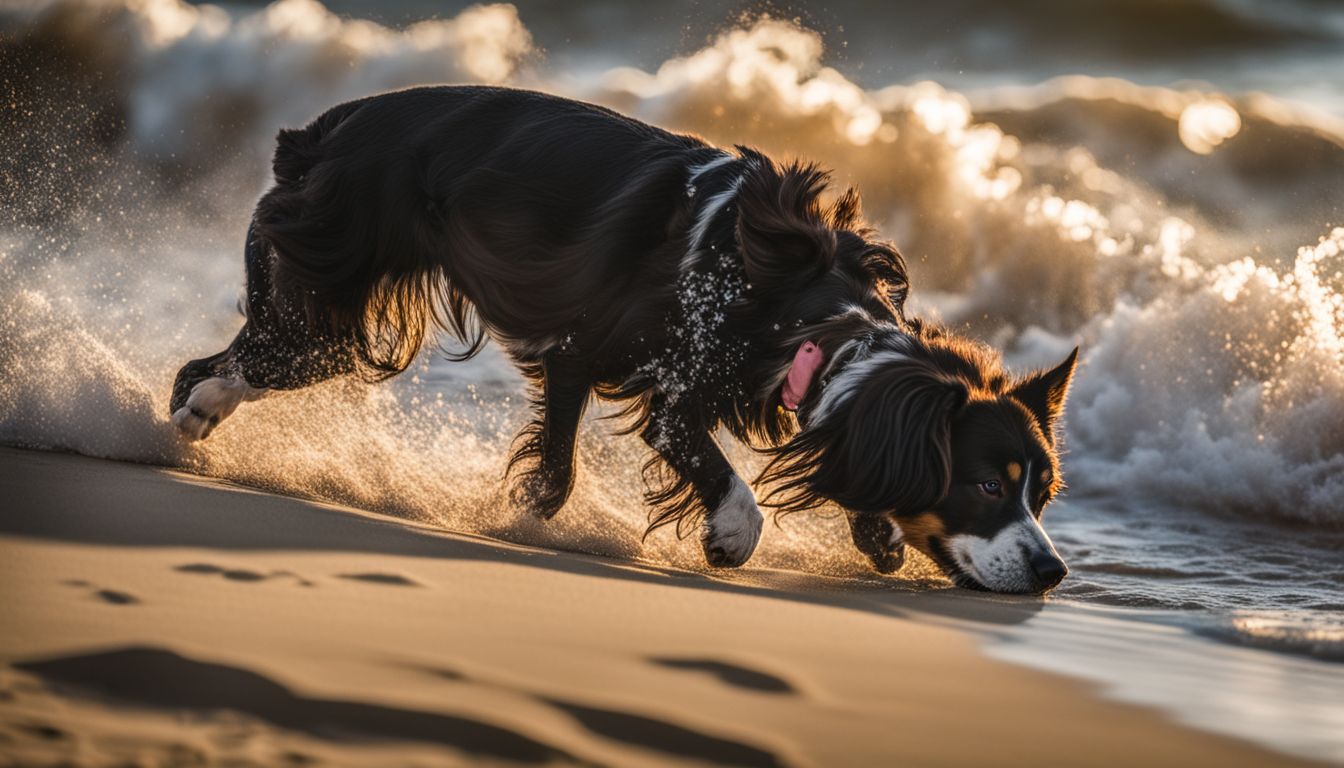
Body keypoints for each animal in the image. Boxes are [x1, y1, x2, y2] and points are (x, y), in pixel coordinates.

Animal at [173, 88, 1080, 594]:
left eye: (1043, 496)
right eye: (989, 487)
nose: (1053, 571)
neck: (804, 312)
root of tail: (323, 129)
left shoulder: (579, 359)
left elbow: (555, 470)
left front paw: (882, 534)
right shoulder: (661, 383)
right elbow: (721, 482)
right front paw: (728, 537)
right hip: (324, 296)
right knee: (222, 367)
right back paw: (192, 413)